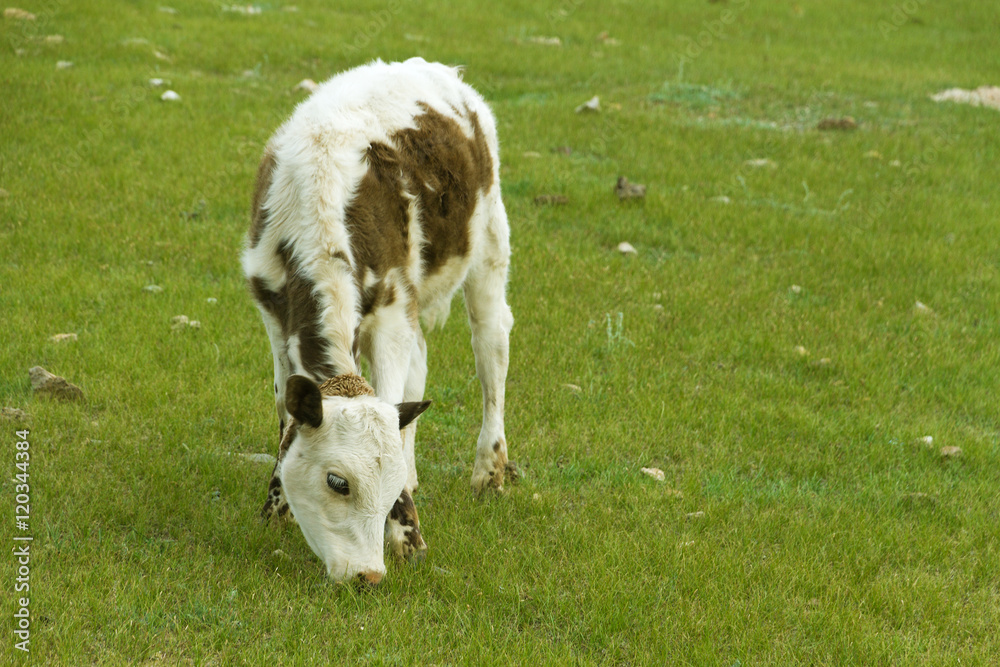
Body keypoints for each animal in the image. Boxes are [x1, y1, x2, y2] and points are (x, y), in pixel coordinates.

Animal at [241, 58, 513, 584]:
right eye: (337, 482)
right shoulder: (272, 315)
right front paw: (276, 508)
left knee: (492, 349)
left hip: (489, 242)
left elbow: (390, 396)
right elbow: (287, 408)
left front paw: (407, 536)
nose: (368, 575)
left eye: (385, 489)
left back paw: (490, 471)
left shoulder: (391, 312)